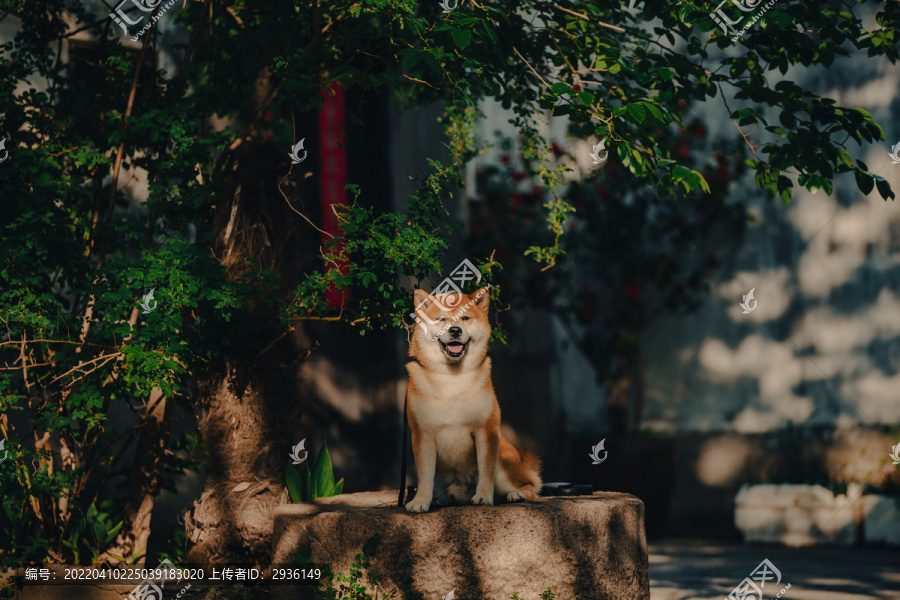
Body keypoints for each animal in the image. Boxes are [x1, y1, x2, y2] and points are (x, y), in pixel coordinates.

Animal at [406, 286, 540, 510]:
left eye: (465, 318)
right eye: (441, 319)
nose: (455, 331)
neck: (452, 380)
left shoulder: (486, 430)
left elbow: (486, 470)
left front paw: (484, 497)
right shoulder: (422, 433)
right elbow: (424, 474)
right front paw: (420, 501)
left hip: (503, 465)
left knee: (528, 488)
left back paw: (516, 495)